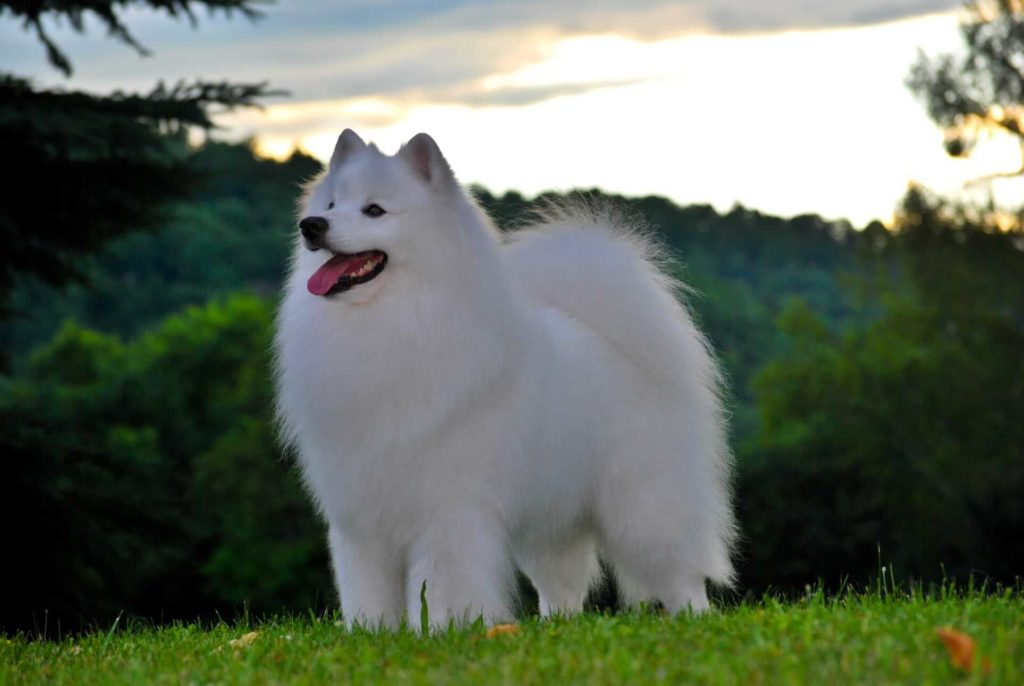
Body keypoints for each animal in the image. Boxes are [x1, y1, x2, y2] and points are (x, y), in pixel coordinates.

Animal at [274, 132, 737, 630]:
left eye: (374, 210)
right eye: (331, 203)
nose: (311, 225)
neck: (388, 320)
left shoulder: (449, 511)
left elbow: (442, 586)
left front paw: (443, 631)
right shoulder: (359, 518)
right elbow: (367, 591)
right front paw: (372, 633)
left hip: (642, 506)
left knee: (678, 570)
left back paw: (694, 617)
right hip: (552, 514)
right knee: (562, 585)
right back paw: (555, 627)